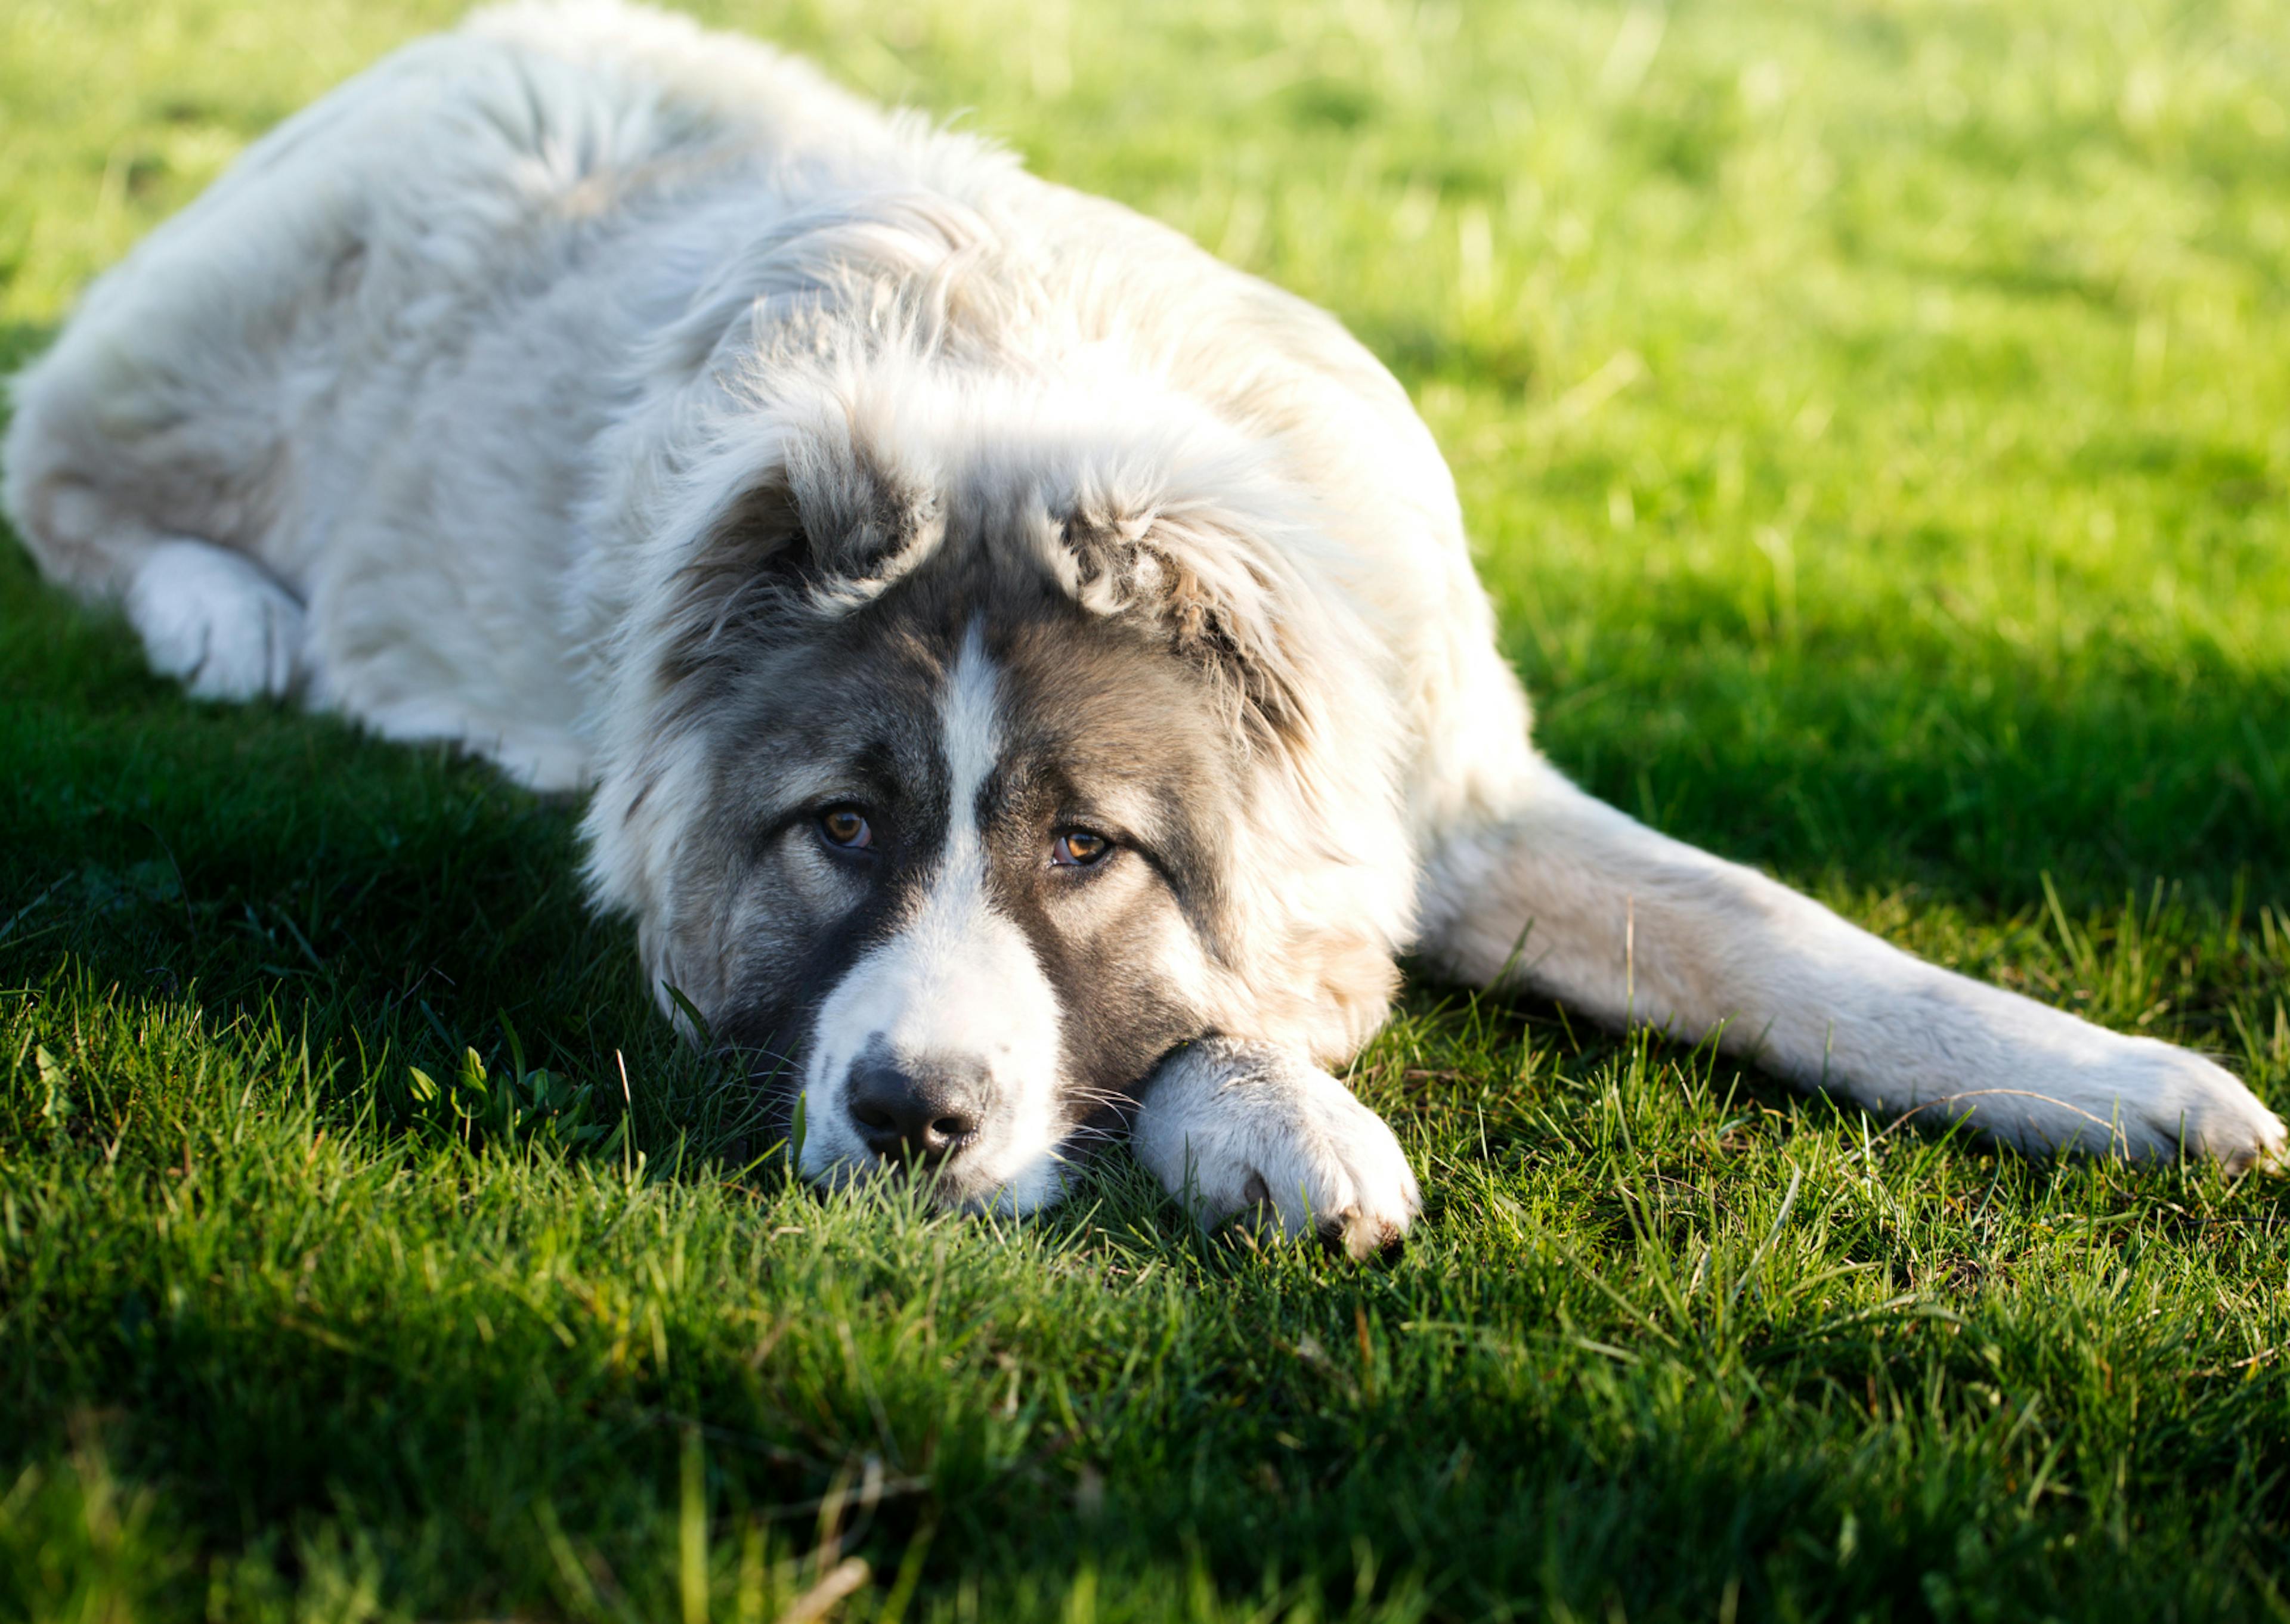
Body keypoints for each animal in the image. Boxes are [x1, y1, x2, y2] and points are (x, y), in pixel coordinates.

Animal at [9, 0, 2280, 1255]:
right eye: (839, 829)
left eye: (1086, 846)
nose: (909, 1122)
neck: (1026, 402)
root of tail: (465, 39)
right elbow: (1210, 1025)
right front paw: (1287, 1129)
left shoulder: (1448, 788)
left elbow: (1784, 934)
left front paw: (2132, 1087)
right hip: (207, 362)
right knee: (58, 476)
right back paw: (228, 618)